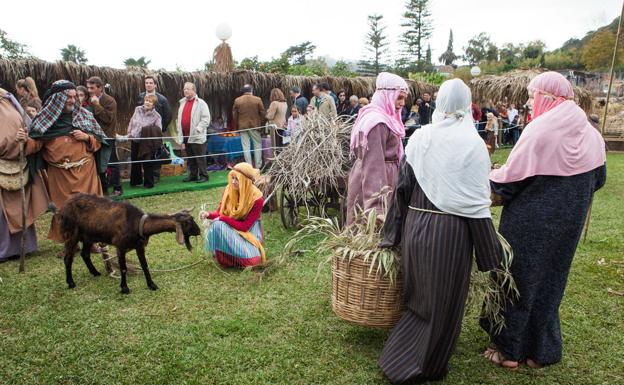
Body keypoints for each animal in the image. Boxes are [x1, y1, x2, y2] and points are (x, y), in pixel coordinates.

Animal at [58, 192, 200, 294]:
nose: (199, 231)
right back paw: (71, 283)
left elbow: (144, 266)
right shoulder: (120, 246)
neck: (137, 223)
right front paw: (124, 288)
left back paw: (95, 273)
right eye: (189, 222)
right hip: (71, 234)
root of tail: (65, 204)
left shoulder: (139, 246)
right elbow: (124, 268)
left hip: (88, 236)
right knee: (68, 258)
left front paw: (152, 285)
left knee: (85, 254)